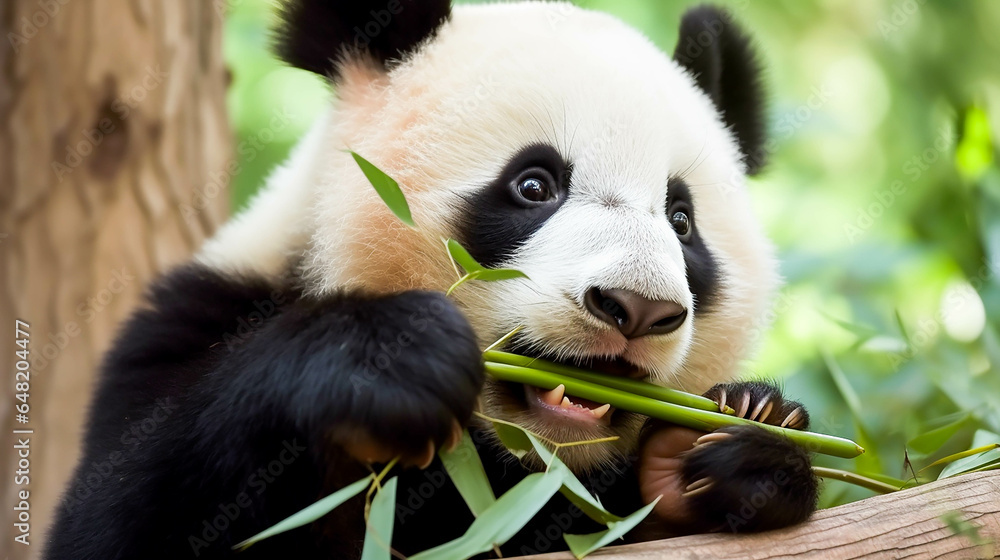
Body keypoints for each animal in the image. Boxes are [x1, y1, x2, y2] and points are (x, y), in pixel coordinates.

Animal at [46, 1, 819, 559]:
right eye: (533, 185)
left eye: (682, 221)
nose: (636, 307)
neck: (515, 460)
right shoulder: (196, 319)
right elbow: (120, 516)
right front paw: (390, 359)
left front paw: (733, 444)